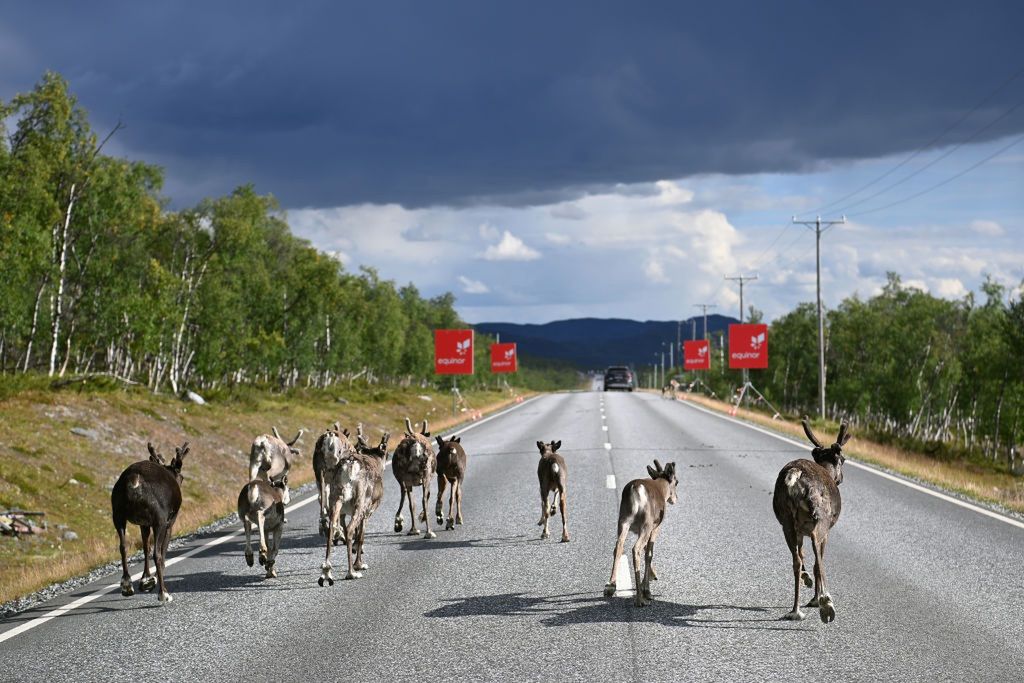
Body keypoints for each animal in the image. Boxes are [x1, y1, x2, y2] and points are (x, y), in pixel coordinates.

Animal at [112, 444, 190, 602]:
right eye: (182, 477)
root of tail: (134, 479)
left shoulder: (144, 523)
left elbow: (145, 548)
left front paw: (145, 580)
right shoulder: (169, 522)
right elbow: (161, 551)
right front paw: (151, 580)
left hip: (118, 515)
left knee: (123, 547)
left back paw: (127, 585)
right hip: (159, 520)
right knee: (157, 554)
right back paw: (163, 593)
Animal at [602, 462, 675, 606]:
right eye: (677, 482)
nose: (675, 499)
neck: (661, 488)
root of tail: (635, 489)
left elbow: (647, 550)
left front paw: (651, 576)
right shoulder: (655, 527)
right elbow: (649, 554)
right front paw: (647, 590)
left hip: (623, 520)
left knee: (618, 546)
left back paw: (611, 586)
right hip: (645, 524)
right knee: (636, 549)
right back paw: (640, 599)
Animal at [774, 419, 847, 622]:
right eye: (843, 460)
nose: (841, 478)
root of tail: (795, 473)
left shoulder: (799, 531)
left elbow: (803, 556)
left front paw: (807, 580)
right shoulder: (827, 532)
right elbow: (817, 562)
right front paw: (816, 598)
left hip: (787, 522)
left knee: (796, 561)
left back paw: (795, 610)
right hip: (819, 521)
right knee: (818, 561)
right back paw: (826, 603)